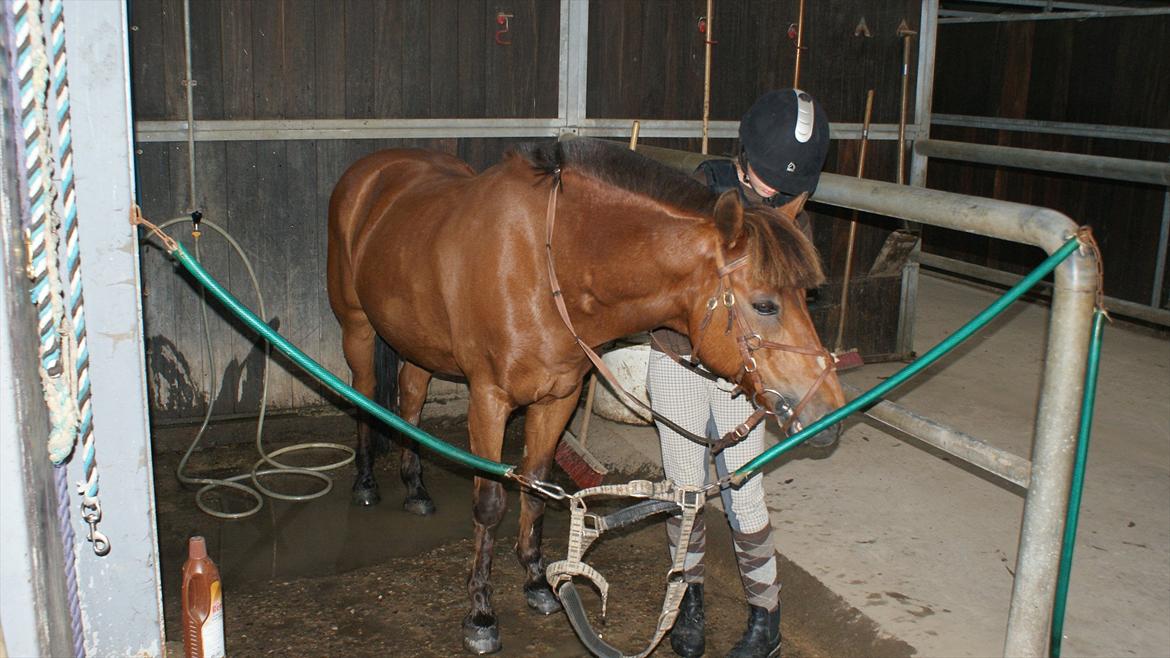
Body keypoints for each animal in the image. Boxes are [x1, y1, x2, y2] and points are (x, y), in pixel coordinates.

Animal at [325, 138, 847, 650]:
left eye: (808, 297)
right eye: (765, 305)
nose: (829, 415)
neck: (546, 264)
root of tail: (373, 169)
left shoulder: (558, 398)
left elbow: (536, 485)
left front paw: (538, 584)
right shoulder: (489, 400)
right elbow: (490, 504)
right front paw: (480, 614)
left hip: (418, 342)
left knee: (411, 400)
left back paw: (415, 488)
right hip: (357, 328)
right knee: (364, 397)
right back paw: (366, 483)